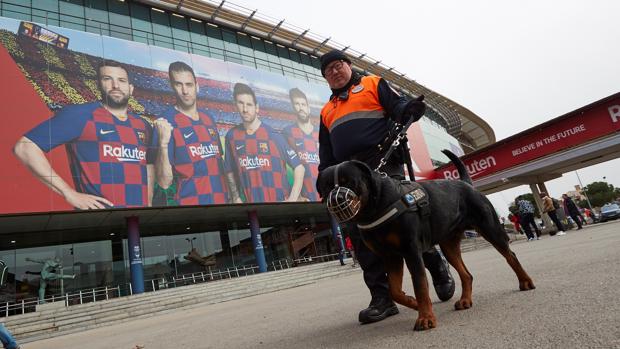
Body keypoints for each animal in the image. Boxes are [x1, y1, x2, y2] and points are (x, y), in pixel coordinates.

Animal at [318, 149, 536, 328]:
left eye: (348, 181)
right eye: (326, 187)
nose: (337, 198)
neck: (374, 207)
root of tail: (465, 183)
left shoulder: (411, 251)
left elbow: (420, 285)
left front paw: (425, 318)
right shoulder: (390, 256)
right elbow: (394, 290)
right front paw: (414, 303)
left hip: (489, 227)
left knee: (510, 255)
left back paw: (525, 281)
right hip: (449, 244)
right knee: (466, 274)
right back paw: (465, 300)